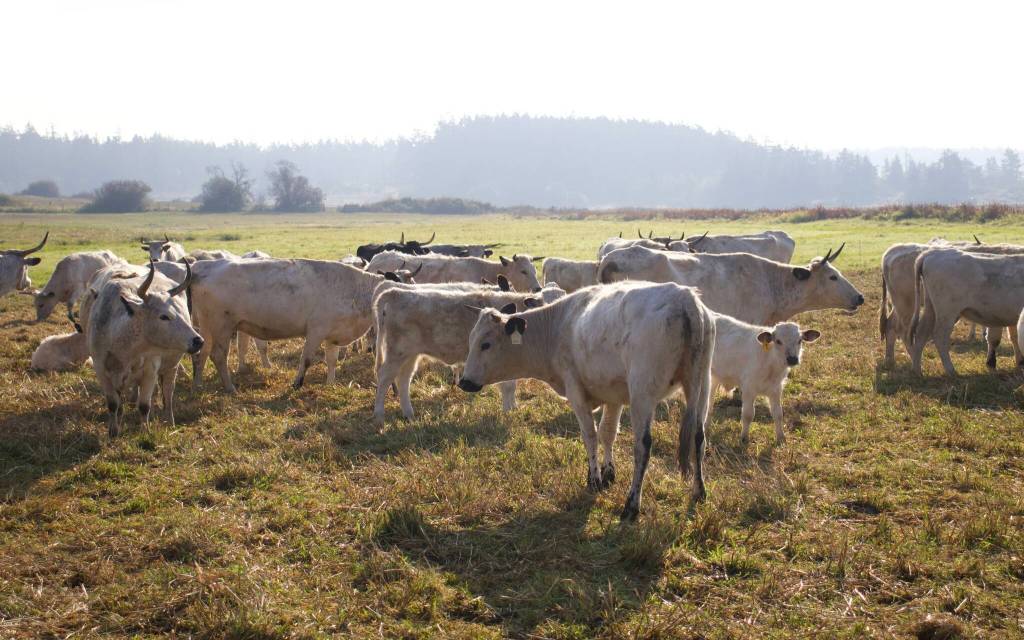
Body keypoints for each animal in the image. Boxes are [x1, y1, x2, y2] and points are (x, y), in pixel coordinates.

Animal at [86, 260, 202, 436]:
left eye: (180, 312)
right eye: (163, 316)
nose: (198, 341)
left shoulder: (150, 372)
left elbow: (144, 406)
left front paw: (145, 431)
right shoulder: (102, 372)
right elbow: (113, 404)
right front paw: (113, 431)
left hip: (171, 367)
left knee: (168, 393)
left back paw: (169, 420)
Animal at [188, 259, 399, 392]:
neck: (355, 289)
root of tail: (203, 266)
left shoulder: (332, 334)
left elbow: (331, 361)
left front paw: (330, 384)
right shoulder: (315, 331)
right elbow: (306, 359)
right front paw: (297, 383)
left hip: (207, 327)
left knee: (202, 353)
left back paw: (198, 385)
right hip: (222, 326)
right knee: (218, 356)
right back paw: (230, 388)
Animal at [373, 284, 566, 423]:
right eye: (544, 302)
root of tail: (395, 292)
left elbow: (511, 385)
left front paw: (512, 408)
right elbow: (508, 386)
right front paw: (508, 411)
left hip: (410, 355)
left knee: (404, 379)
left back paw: (409, 414)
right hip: (396, 353)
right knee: (384, 377)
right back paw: (379, 416)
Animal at [457, 281, 716, 521]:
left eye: (486, 344)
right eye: (470, 340)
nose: (464, 382)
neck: (557, 326)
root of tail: (684, 298)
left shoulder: (576, 391)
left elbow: (590, 435)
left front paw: (594, 479)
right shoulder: (614, 394)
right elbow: (607, 432)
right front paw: (608, 473)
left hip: (643, 393)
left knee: (643, 446)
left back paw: (631, 505)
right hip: (701, 387)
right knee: (698, 437)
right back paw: (699, 492)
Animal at [709, 313, 820, 445]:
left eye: (799, 340)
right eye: (778, 341)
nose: (792, 359)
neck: (770, 364)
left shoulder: (776, 389)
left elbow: (778, 414)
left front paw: (781, 438)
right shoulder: (748, 389)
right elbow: (748, 414)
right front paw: (744, 438)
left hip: (714, 377)